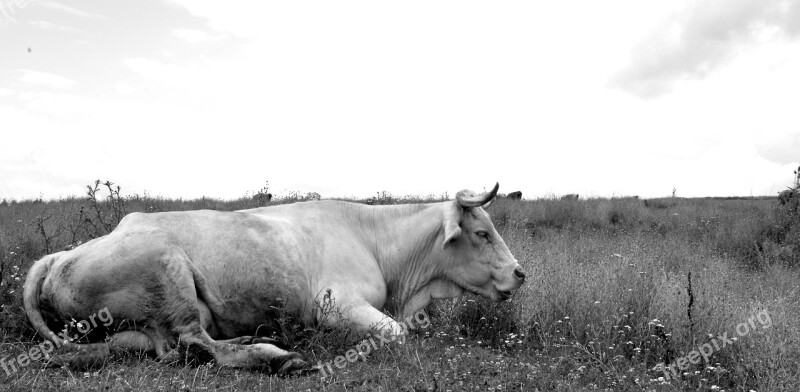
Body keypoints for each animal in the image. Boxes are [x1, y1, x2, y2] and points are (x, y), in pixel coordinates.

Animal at [21, 184, 524, 376]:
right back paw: (278, 356)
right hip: (170, 272)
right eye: (482, 233)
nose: (519, 273)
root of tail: (60, 255)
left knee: (166, 349)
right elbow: (397, 333)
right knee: (199, 343)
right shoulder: (334, 305)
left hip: (139, 330)